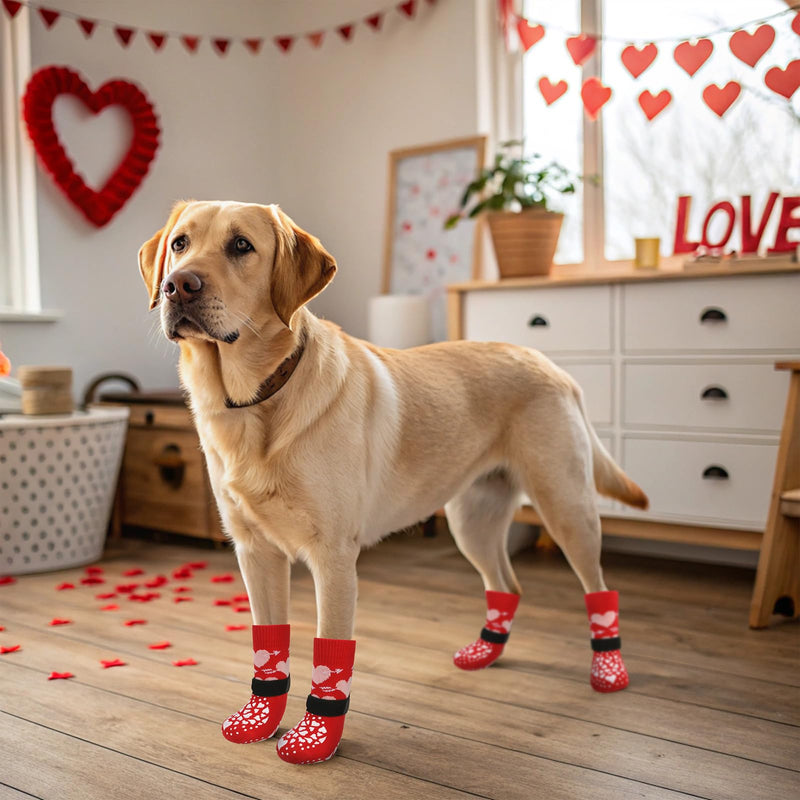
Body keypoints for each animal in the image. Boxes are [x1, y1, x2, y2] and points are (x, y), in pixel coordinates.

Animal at [141, 200, 648, 764]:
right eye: (180, 244)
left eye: (241, 246)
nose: (177, 285)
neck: (257, 400)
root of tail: (548, 362)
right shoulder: (255, 552)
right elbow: (268, 639)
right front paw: (260, 718)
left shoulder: (333, 558)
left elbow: (331, 649)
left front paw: (316, 737)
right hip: (471, 522)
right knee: (506, 584)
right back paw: (485, 651)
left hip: (566, 508)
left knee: (599, 589)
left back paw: (609, 668)